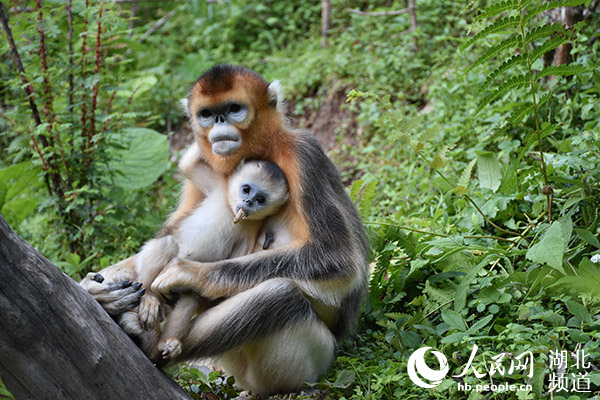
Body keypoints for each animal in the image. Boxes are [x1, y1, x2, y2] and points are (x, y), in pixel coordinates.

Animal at [135, 148, 288, 366]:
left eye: (261, 200)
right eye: (246, 189)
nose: (247, 203)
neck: (231, 210)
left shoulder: (250, 234)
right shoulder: (218, 186)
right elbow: (188, 164)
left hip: (174, 290)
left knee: (189, 299)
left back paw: (164, 347)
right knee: (168, 243)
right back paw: (148, 297)